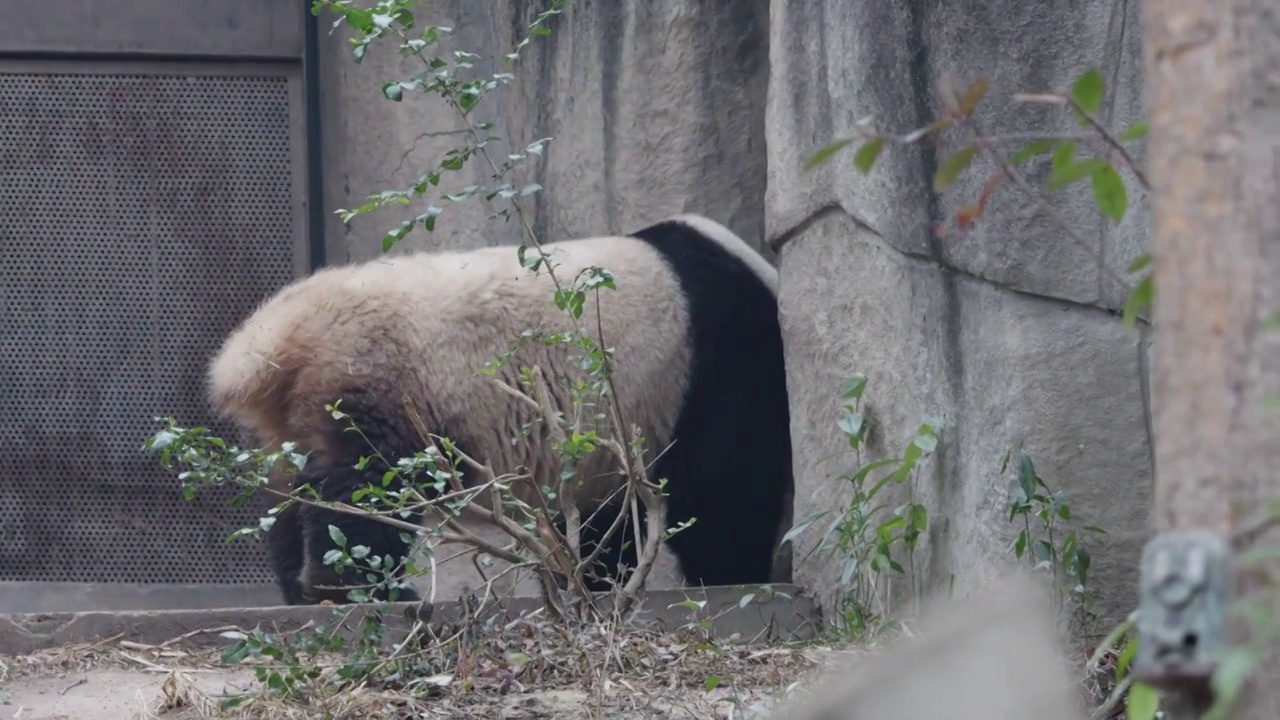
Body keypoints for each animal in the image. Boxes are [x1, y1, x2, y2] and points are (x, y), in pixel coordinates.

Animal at [207, 211, 788, 599]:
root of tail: (273, 341)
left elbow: (606, 518)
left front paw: (589, 580)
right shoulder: (721, 365)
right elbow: (726, 490)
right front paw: (737, 576)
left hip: (286, 426)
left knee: (288, 497)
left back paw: (302, 592)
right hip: (382, 381)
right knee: (364, 495)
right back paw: (360, 592)